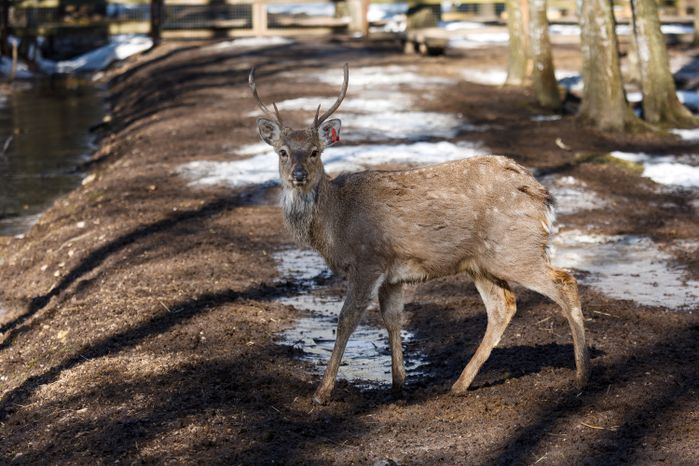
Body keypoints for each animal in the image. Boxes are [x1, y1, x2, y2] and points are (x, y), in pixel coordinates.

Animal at [249, 63, 590, 405]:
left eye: (315, 152)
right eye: (282, 152)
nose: (298, 175)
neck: (337, 224)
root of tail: (542, 196)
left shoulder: (368, 258)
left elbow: (346, 319)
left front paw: (322, 392)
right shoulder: (392, 275)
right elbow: (392, 318)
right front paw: (399, 385)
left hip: (516, 248)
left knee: (565, 282)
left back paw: (582, 375)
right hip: (481, 262)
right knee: (503, 306)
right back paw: (459, 384)